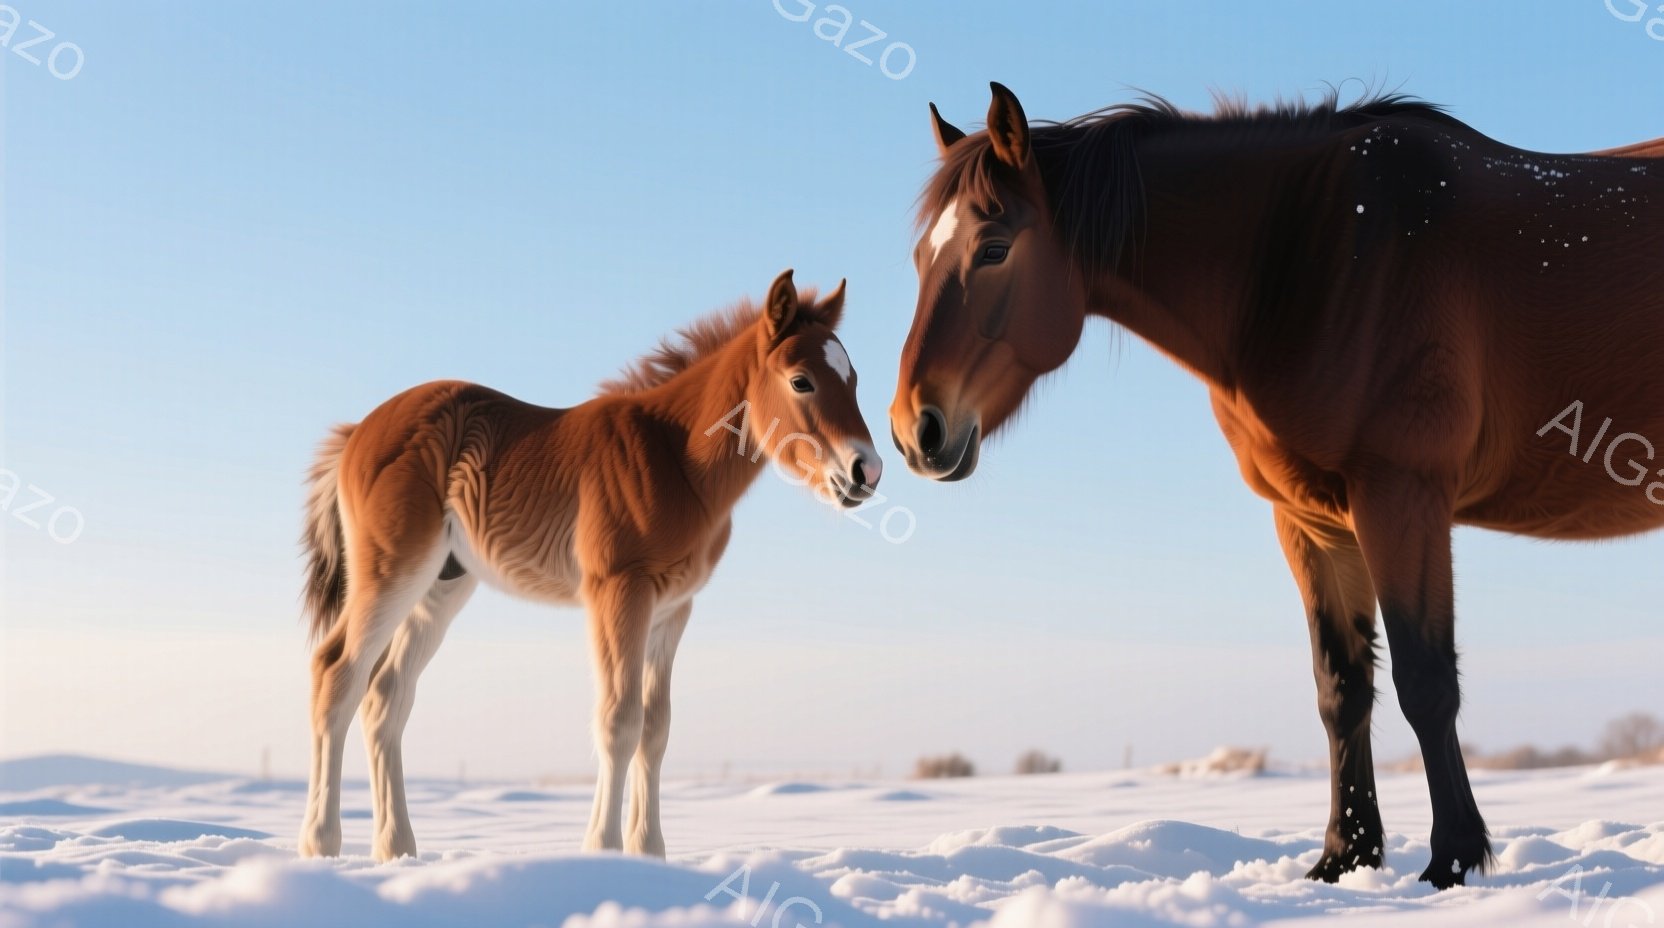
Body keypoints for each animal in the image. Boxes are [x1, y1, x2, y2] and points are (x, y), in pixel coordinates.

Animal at [297, 270, 881, 861]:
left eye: (853, 379)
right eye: (801, 381)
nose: (867, 471)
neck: (675, 459)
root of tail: (357, 432)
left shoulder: (673, 608)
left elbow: (656, 729)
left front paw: (649, 854)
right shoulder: (617, 592)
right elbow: (619, 719)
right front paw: (602, 848)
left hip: (442, 585)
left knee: (386, 696)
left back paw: (397, 849)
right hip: (393, 570)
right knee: (337, 671)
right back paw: (322, 842)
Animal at [890, 82, 1662, 888]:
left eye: (994, 248)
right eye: (920, 256)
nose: (916, 429)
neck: (1321, 258)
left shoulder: (1402, 497)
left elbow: (1425, 680)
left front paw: (1450, 859)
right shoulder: (1312, 520)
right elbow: (1341, 688)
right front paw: (1344, 856)